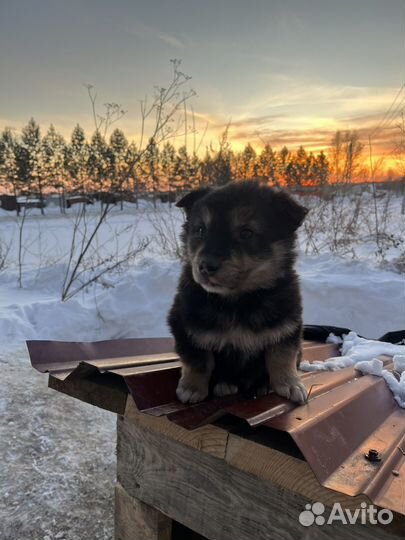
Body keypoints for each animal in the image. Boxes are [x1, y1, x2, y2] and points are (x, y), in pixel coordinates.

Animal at [166, 181, 306, 404]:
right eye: (200, 229)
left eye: (246, 233)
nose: (205, 266)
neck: (237, 301)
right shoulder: (184, 326)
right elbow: (198, 359)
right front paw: (192, 388)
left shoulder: (287, 325)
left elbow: (282, 356)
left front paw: (290, 384)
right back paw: (224, 385)